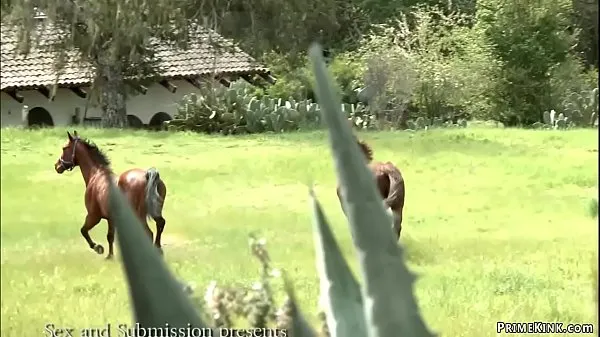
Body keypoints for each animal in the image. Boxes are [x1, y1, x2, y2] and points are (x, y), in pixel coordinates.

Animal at [54, 130, 168, 258]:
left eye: (64, 148)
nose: (57, 166)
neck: (96, 175)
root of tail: (148, 175)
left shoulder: (93, 216)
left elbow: (83, 231)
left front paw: (98, 248)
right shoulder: (111, 219)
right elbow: (110, 236)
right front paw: (110, 256)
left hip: (139, 216)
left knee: (149, 232)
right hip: (155, 212)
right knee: (160, 224)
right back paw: (158, 250)